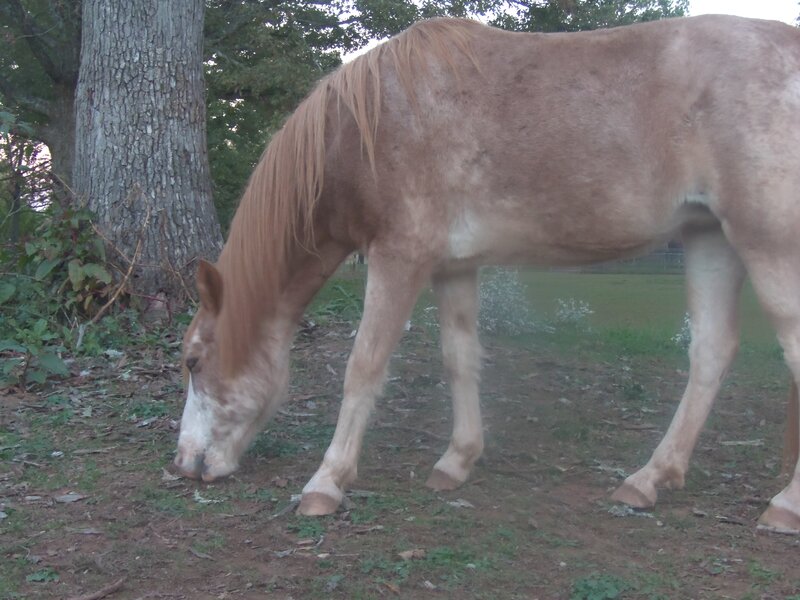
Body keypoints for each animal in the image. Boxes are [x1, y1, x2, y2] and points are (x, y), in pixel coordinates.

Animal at [174, 14, 800, 531]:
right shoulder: (453, 267)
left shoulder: (399, 258)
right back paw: (648, 479)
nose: (184, 464)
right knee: (711, 352)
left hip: (768, 245)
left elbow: (364, 366)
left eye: (194, 361)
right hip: (709, 239)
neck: (364, 127)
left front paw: (326, 482)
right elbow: (460, 359)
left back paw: (784, 506)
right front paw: (457, 460)